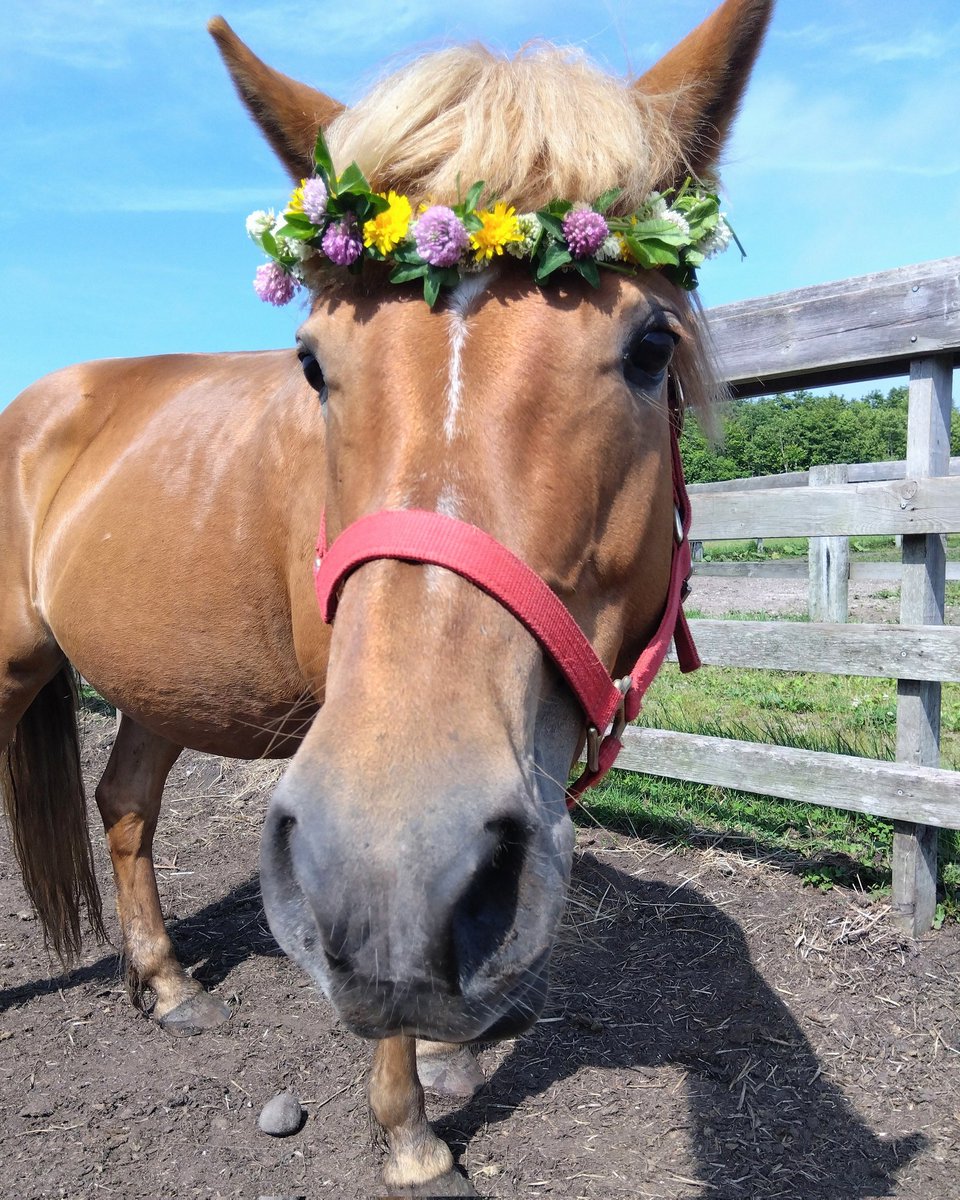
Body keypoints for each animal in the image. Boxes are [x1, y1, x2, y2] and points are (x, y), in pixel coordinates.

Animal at [0, 0, 772, 1193]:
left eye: (651, 348)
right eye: (313, 361)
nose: (397, 859)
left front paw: (462, 1046)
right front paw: (411, 1129)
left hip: (162, 684)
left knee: (124, 803)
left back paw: (166, 985)